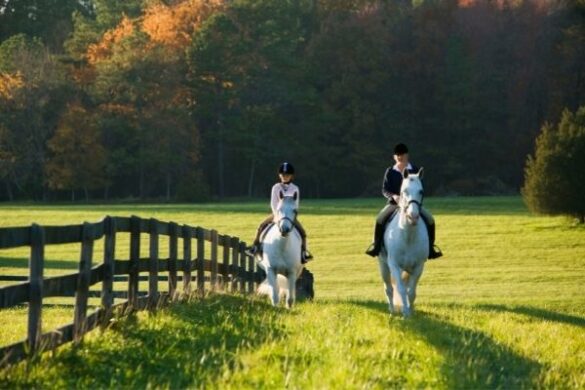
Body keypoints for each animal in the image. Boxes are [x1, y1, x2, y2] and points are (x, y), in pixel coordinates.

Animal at [376, 168, 426, 316]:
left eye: (421, 191)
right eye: (404, 191)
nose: (413, 216)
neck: (408, 235)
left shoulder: (418, 267)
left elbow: (411, 292)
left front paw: (411, 312)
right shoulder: (394, 265)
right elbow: (401, 289)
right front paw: (405, 313)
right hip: (383, 266)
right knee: (389, 289)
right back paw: (392, 311)